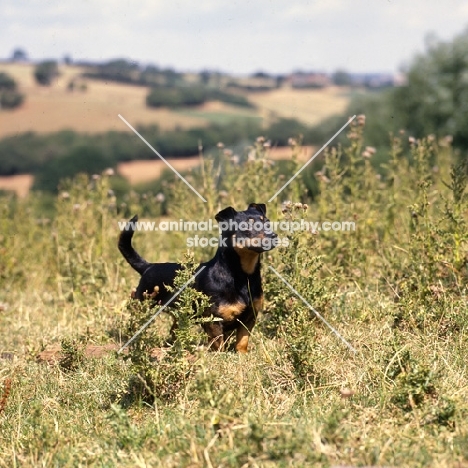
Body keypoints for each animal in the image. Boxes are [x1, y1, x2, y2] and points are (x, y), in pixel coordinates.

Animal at [118, 203, 278, 352]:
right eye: (247, 226)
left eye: (267, 222)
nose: (274, 236)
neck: (243, 275)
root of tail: (148, 267)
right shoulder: (212, 320)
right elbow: (218, 345)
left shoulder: (249, 318)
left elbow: (242, 342)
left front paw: (241, 356)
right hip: (143, 308)